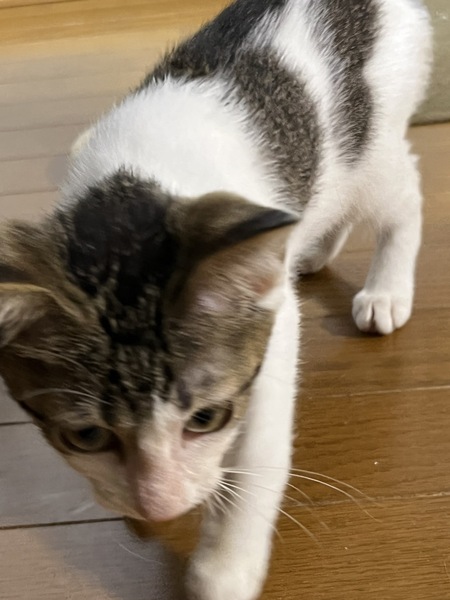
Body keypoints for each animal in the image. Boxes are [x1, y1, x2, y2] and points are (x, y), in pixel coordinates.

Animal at [0, 0, 432, 599]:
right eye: (85, 435)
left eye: (206, 417)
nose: (159, 505)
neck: (131, 190)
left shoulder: (273, 334)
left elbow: (258, 454)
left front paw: (224, 568)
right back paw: (314, 248)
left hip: (370, 142)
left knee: (404, 194)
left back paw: (387, 289)